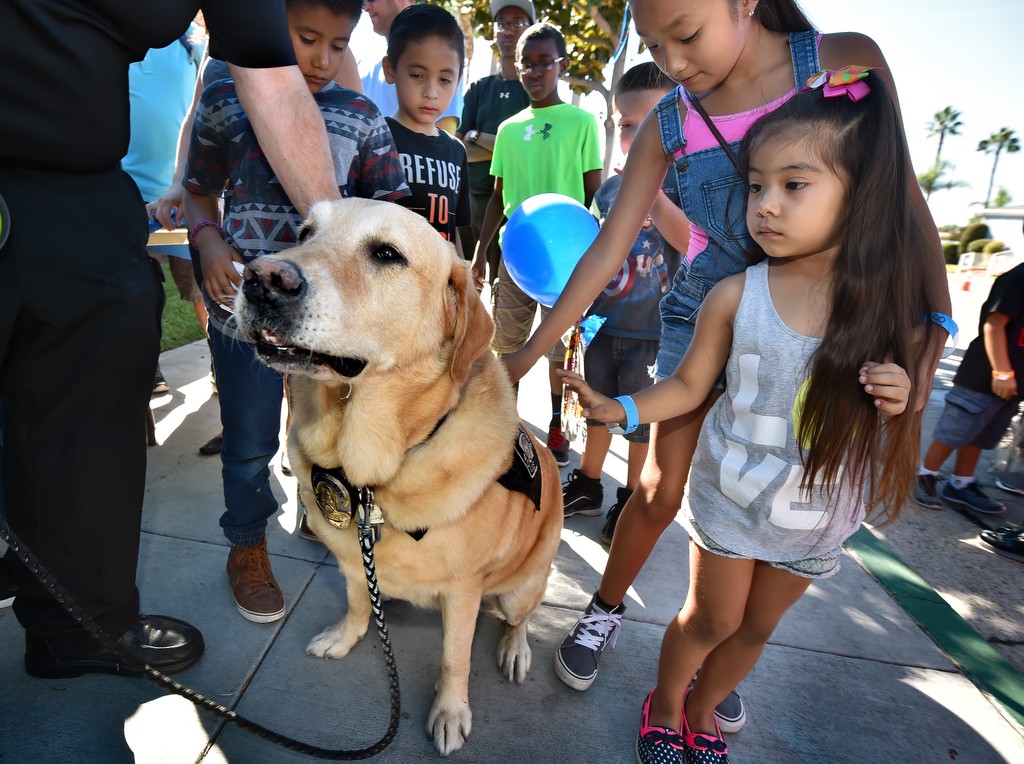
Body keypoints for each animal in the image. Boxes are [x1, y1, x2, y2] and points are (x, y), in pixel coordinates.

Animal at [234, 197, 561, 757]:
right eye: (304, 232)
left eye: (387, 254)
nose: (260, 279)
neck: (371, 472)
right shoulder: (350, 560)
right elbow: (356, 604)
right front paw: (345, 636)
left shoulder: (464, 591)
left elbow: (455, 658)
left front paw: (449, 712)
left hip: (522, 585)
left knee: (520, 618)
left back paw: (515, 648)